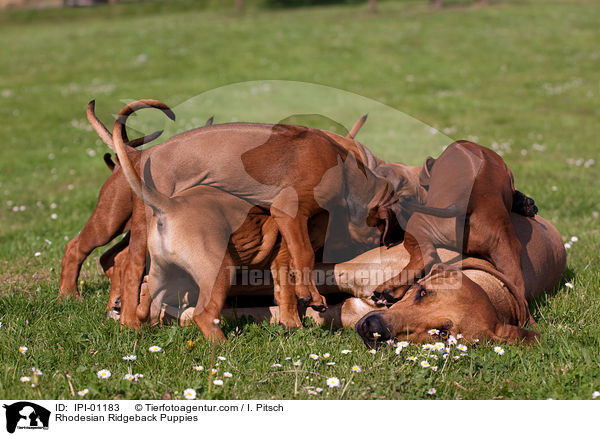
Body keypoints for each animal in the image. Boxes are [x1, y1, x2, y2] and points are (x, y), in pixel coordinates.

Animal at [372, 141, 536, 328]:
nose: (531, 206)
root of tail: (472, 200)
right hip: (507, 253)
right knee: (520, 296)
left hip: (419, 223)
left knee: (427, 256)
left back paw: (389, 289)